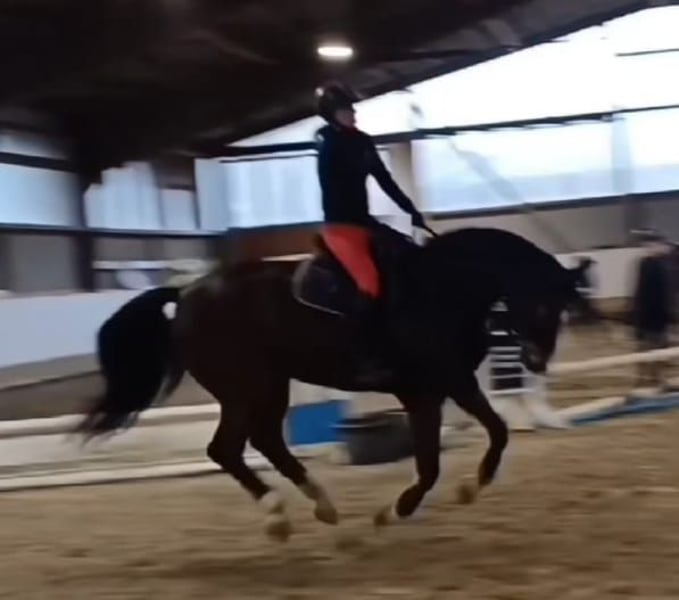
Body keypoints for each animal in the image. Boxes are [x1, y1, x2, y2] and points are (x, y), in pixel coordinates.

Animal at [76, 226, 582, 541]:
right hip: (246, 387)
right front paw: (405, 508)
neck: (443, 289)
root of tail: (185, 296)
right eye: (540, 304)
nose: (536, 361)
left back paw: (320, 504)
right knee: (226, 449)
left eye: (561, 307)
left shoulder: (442, 388)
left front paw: (452, 493)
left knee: (264, 441)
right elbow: (452, 454)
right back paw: (277, 515)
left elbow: (470, 445)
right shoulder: (435, 387)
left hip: (269, 385)